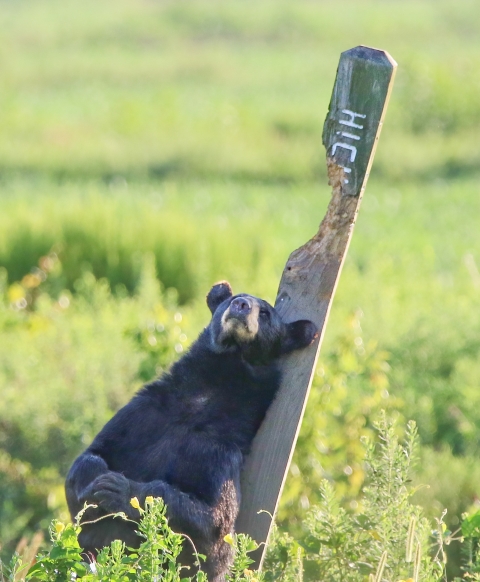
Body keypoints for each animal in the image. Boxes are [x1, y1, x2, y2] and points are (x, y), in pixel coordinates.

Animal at [65, 280, 316, 580]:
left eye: (265, 313)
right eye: (233, 298)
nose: (241, 305)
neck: (202, 400)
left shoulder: (220, 452)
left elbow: (215, 523)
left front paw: (121, 490)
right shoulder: (143, 412)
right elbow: (91, 454)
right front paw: (94, 484)